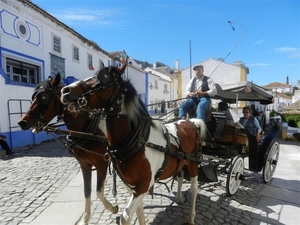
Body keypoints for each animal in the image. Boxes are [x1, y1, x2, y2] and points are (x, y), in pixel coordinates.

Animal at [17, 74, 118, 225]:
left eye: (43, 98)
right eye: (33, 97)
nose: (22, 122)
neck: (86, 129)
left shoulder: (102, 164)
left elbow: (98, 192)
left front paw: (113, 208)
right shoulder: (85, 165)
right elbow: (87, 191)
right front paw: (85, 219)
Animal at [60, 65, 207, 225]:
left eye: (103, 77)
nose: (65, 91)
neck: (136, 141)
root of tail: (191, 121)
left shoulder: (144, 184)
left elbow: (125, 216)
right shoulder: (130, 184)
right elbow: (139, 210)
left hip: (193, 162)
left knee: (194, 188)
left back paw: (191, 217)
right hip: (181, 161)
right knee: (179, 175)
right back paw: (180, 197)